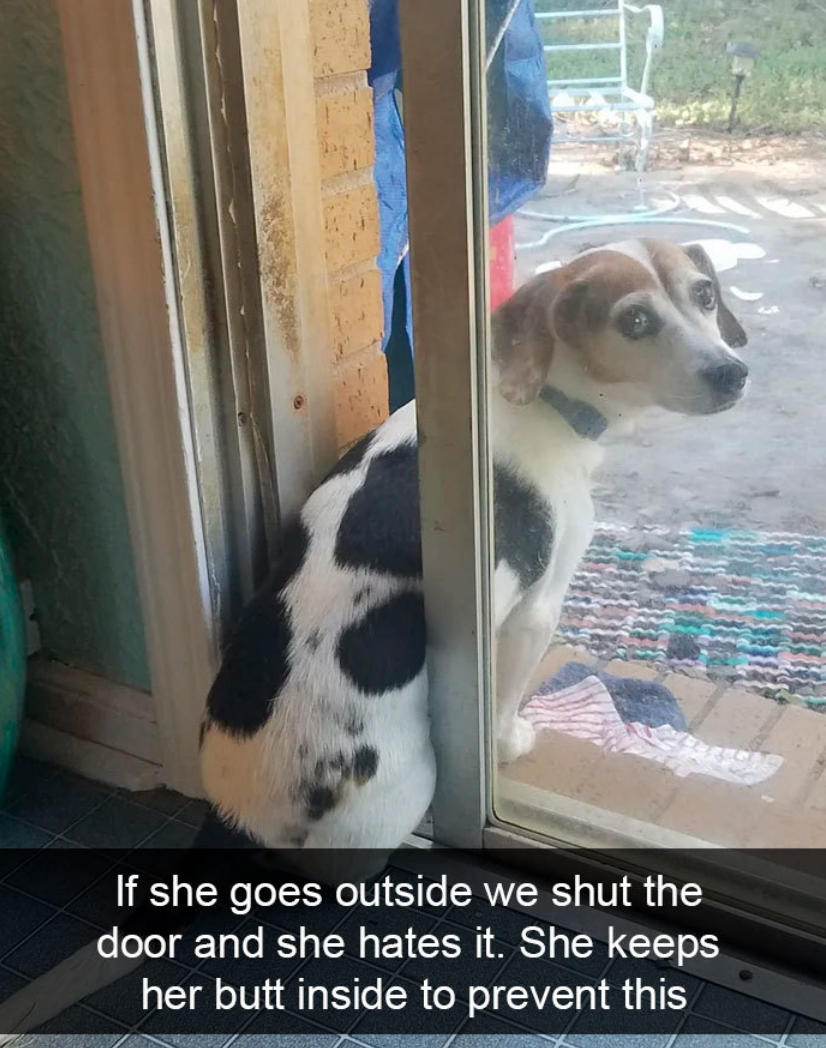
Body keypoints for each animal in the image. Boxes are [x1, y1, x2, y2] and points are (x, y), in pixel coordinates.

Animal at [0, 238, 747, 1037]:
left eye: (704, 295)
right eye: (634, 320)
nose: (732, 373)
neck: (540, 397)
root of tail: (233, 822)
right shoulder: (535, 612)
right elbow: (507, 701)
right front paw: (510, 744)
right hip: (407, 787)